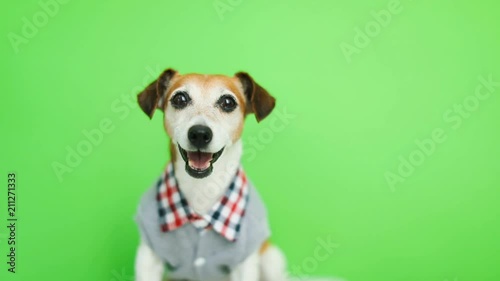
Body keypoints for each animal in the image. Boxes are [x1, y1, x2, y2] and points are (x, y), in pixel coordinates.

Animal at [135, 69, 288, 280]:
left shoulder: (244, 265)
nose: (200, 133)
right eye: (180, 99)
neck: (202, 188)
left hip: (271, 259)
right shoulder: (148, 258)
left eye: (228, 102)